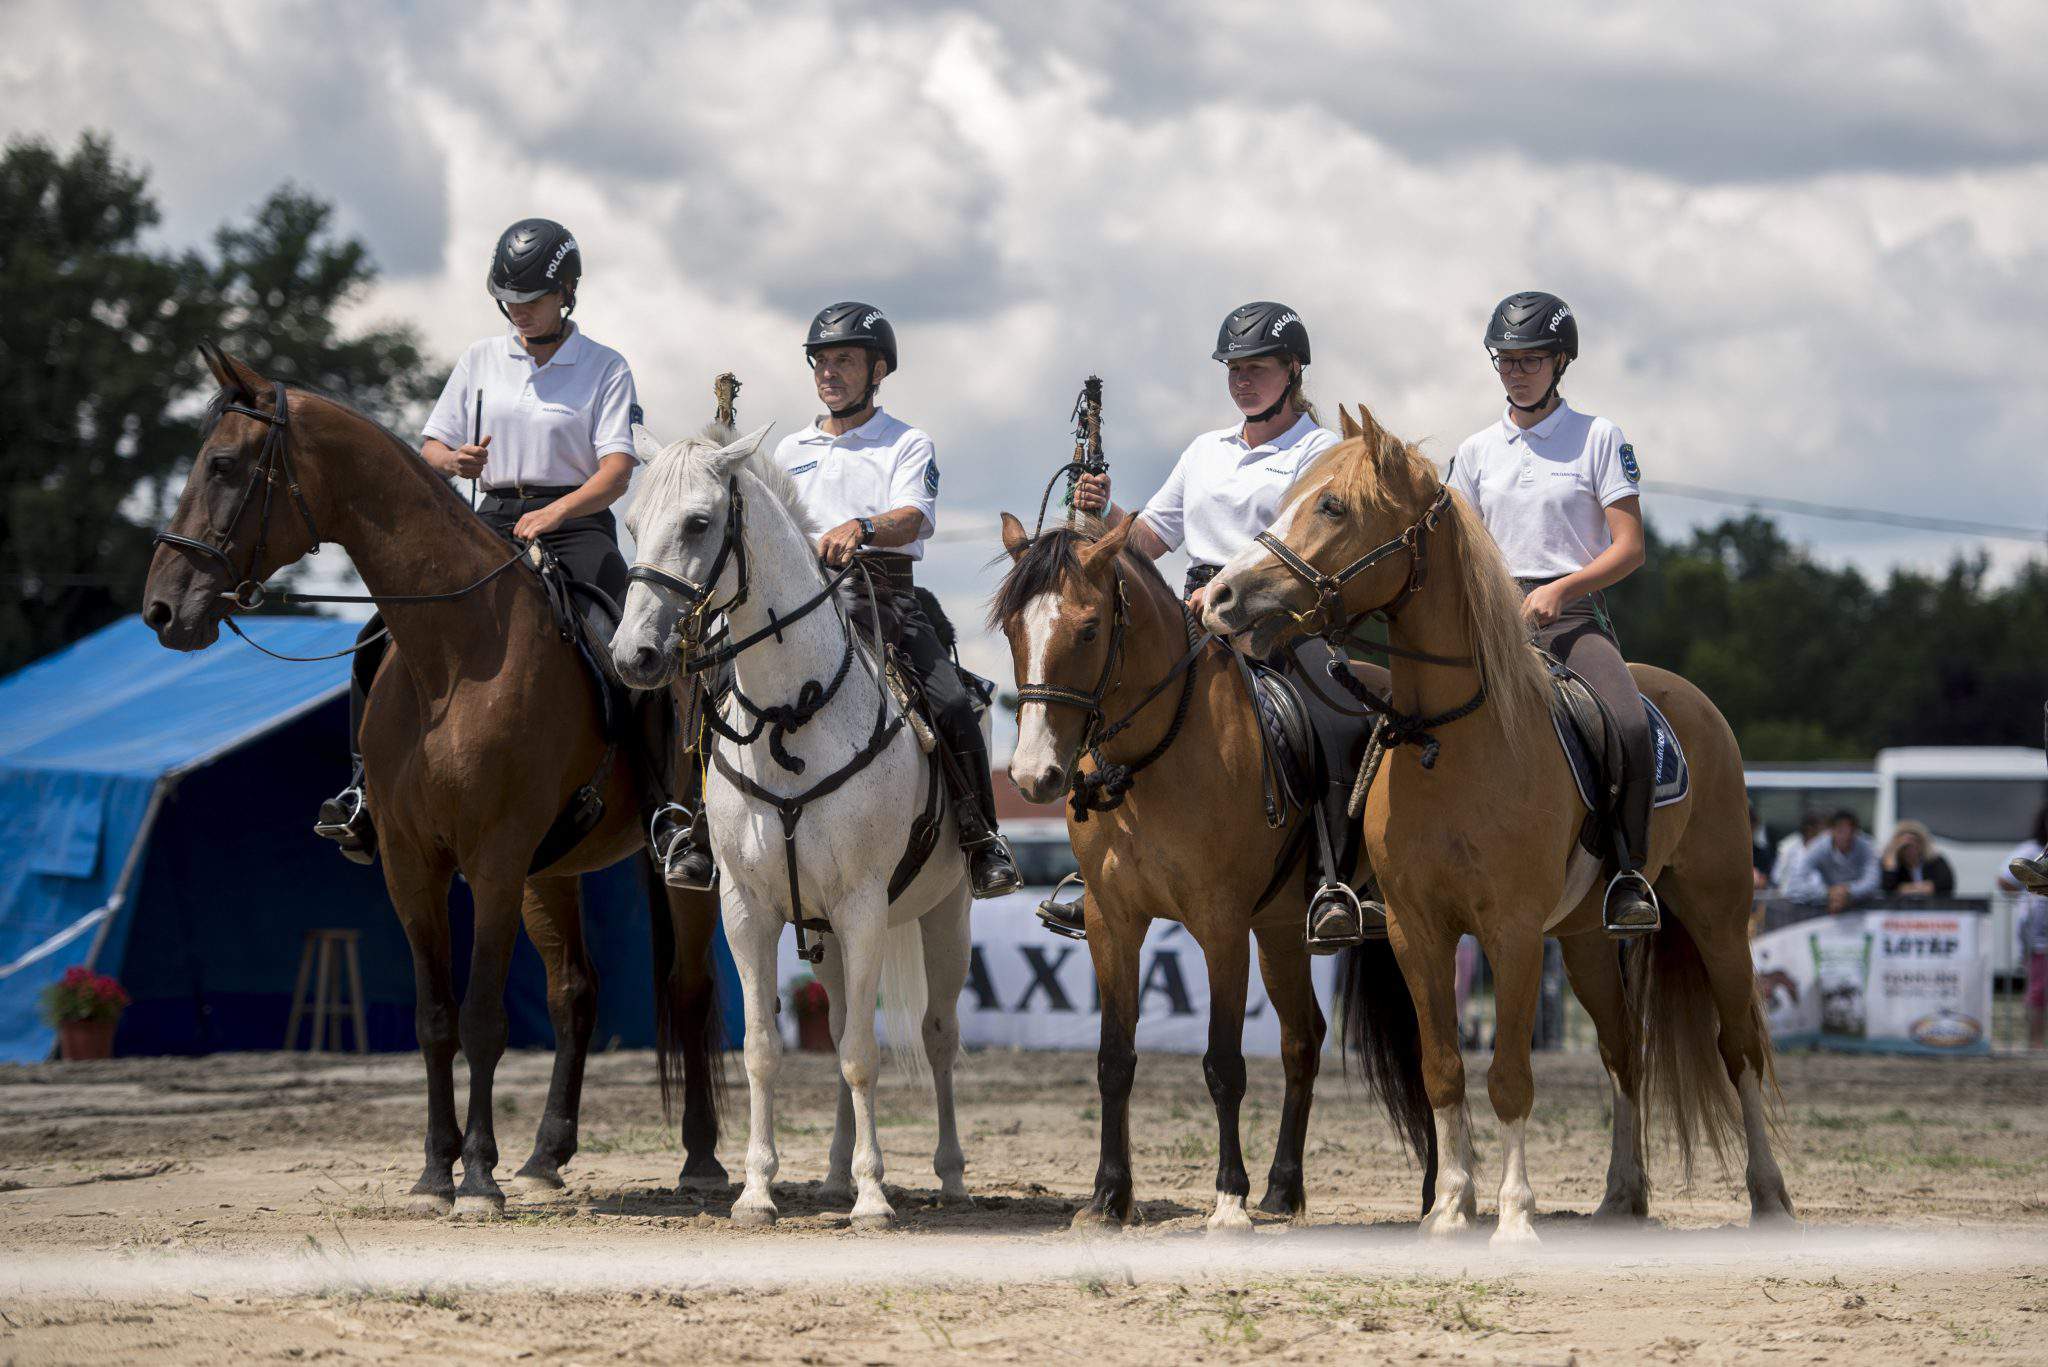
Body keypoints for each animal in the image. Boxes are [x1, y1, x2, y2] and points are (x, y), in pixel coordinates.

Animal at [140, 348, 729, 1213]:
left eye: (221, 465)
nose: (161, 609)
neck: (456, 652)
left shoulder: (493, 860)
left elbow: (482, 1016)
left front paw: (478, 1173)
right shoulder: (412, 865)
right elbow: (434, 1017)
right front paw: (434, 1170)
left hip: (676, 868)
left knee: (691, 990)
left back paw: (700, 1159)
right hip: (548, 874)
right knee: (574, 992)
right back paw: (547, 1154)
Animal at [606, 418, 974, 1229]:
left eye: (699, 522)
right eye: (633, 523)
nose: (633, 655)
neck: (791, 714)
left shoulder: (865, 906)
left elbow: (865, 1053)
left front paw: (874, 1198)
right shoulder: (747, 909)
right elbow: (767, 1050)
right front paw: (756, 1192)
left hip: (947, 913)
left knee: (936, 1036)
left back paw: (950, 1177)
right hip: (827, 933)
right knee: (837, 1026)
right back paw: (834, 1175)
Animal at [995, 510, 1441, 1229]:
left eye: (1088, 629)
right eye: (1013, 629)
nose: (1036, 774)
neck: (1154, 757)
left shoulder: (1221, 925)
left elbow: (1223, 1061)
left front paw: (1229, 1197)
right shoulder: (1112, 922)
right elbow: (1114, 1058)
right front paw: (1107, 1195)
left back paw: (1437, 1195)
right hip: (1283, 932)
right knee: (1302, 1039)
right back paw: (1284, 1189)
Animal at [1196, 403, 1794, 1237]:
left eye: (1333, 506)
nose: (1221, 597)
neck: (1449, 739)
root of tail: (1694, 702)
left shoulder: (1511, 931)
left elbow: (1509, 1073)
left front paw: (1513, 1216)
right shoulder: (1417, 929)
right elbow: (1443, 1067)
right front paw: (1450, 1206)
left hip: (1718, 915)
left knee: (1739, 1047)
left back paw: (1768, 1193)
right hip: (1585, 938)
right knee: (1624, 1050)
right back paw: (1622, 1193)